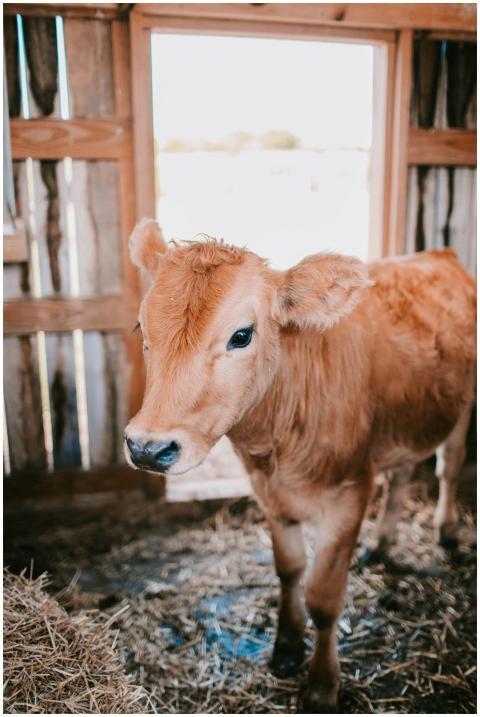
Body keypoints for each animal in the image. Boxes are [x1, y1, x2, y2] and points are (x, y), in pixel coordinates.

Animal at [124, 219, 476, 711]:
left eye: (241, 335)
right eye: (141, 326)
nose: (147, 448)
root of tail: (439, 254)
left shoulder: (350, 493)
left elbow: (324, 599)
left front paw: (322, 685)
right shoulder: (268, 494)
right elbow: (289, 570)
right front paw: (287, 646)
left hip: (463, 402)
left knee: (450, 463)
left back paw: (446, 532)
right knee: (403, 473)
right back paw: (382, 545)